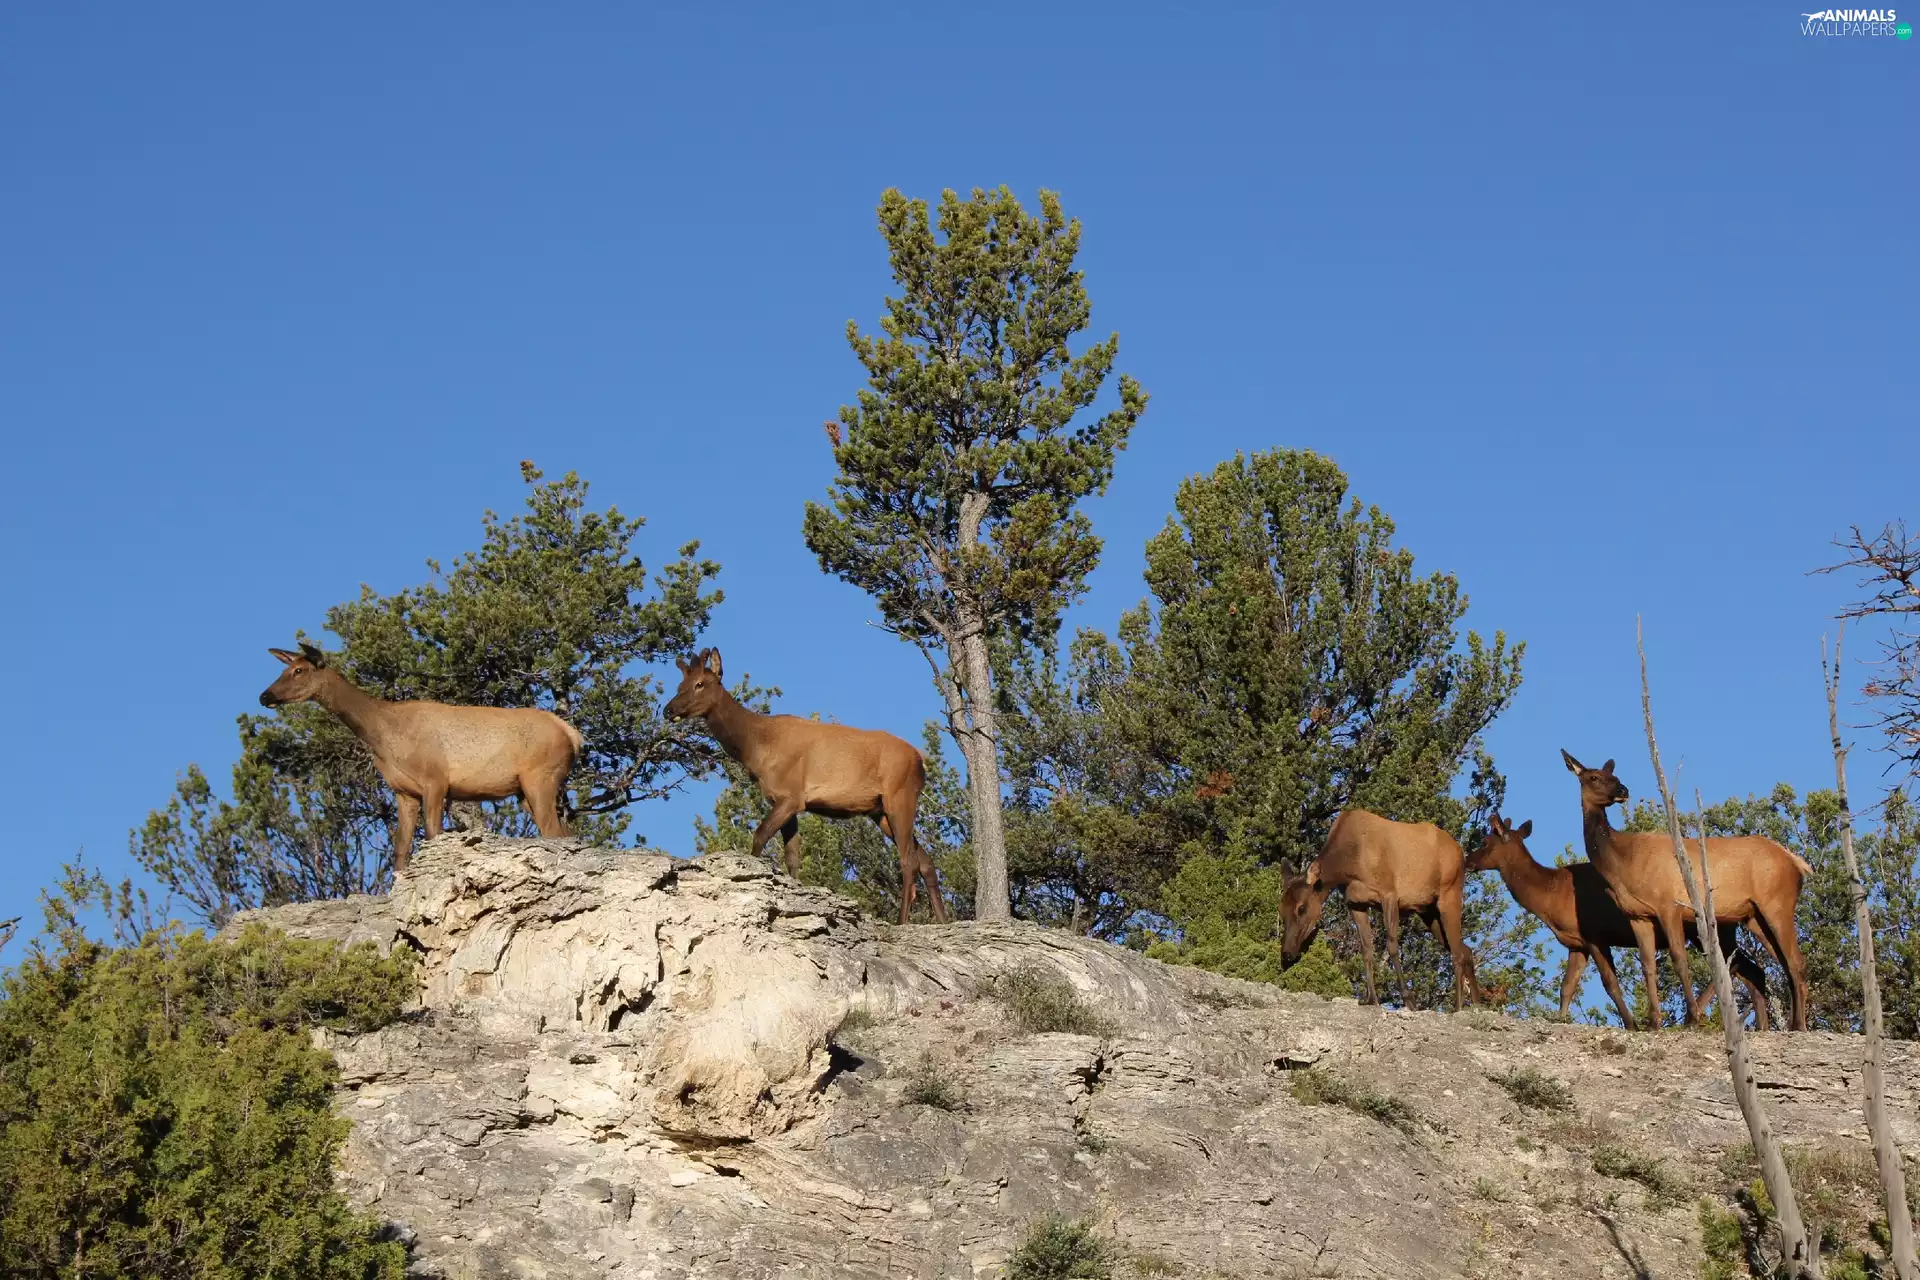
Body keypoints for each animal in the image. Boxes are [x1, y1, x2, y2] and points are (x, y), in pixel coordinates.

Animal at [258, 643, 581, 873]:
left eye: (299, 671)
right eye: (287, 669)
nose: (264, 696)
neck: (383, 736)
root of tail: (572, 734)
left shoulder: (435, 779)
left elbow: (432, 834)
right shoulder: (404, 791)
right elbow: (401, 849)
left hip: (540, 776)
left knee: (554, 832)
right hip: (525, 790)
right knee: (566, 832)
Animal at [663, 648, 948, 925]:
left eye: (700, 683)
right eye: (680, 684)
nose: (668, 709)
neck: (755, 747)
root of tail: (920, 761)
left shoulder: (791, 796)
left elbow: (759, 837)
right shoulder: (785, 802)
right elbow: (792, 859)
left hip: (900, 795)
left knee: (908, 860)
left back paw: (903, 921)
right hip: (880, 811)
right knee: (925, 859)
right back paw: (943, 920)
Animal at [1279, 809, 1482, 1011]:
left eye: (1301, 908)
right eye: (1281, 909)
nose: (1286, 953)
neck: (1348, 865)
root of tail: (1460, 852)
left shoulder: (1389, 893)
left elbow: (1391, 946)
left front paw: (1409, 999)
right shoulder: (1355, 903)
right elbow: (1366, 949)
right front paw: (1371, 998)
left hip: (1450, 893)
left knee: (1457, 953)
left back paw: (1458, 1007)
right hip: (1428, 911)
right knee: (1465, 950)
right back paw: (1478, 1005)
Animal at [1467, 815, 1773, 1030]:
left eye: (1485, 842)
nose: (1468, 860)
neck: (1550, 896)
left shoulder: (1595, 934)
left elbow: (1609, 983)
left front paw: (1632, 1024)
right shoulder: (1576, 943)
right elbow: (1566, 986)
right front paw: (1560, 1019)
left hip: (1709, 929)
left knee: (1733, 965)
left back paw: (1697, 1015)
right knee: (1752, 969)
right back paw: (1762, 1026)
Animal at [1561, 750, 1811, 1031]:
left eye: (1614, 776)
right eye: (1593, 777)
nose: (1623, 790)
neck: (1623, 862)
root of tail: (1797, 863)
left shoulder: (1669, 905)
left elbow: (1680, 959)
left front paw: (1693, 1016)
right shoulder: (1638, 915)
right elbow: (1648, 966)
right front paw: (1654, 1022)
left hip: (1777, 903)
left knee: (1795, 961)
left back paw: (1799, 1025)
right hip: (1754, 916)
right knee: (1781, 962)